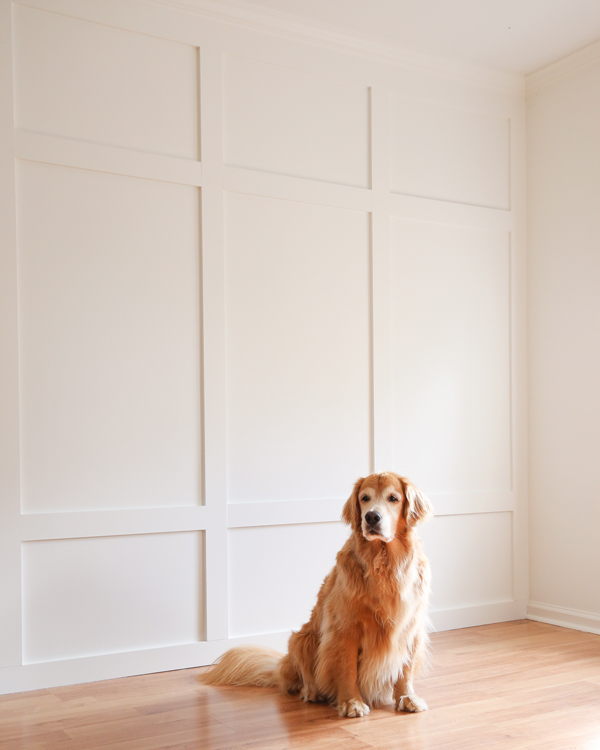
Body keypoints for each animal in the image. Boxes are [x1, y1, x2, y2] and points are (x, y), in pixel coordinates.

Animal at [200, 472, 432, 720]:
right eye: (364, 498)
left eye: (393, 498)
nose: (371, 517)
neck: (383, 563)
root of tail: (280, 667)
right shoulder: (344, 629)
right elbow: (347, 669)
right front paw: (352, 702)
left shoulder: (410, 627)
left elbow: (405, 670)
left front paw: (407, 698)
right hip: (302, 639)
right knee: (304, 678)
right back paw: (312, 692)